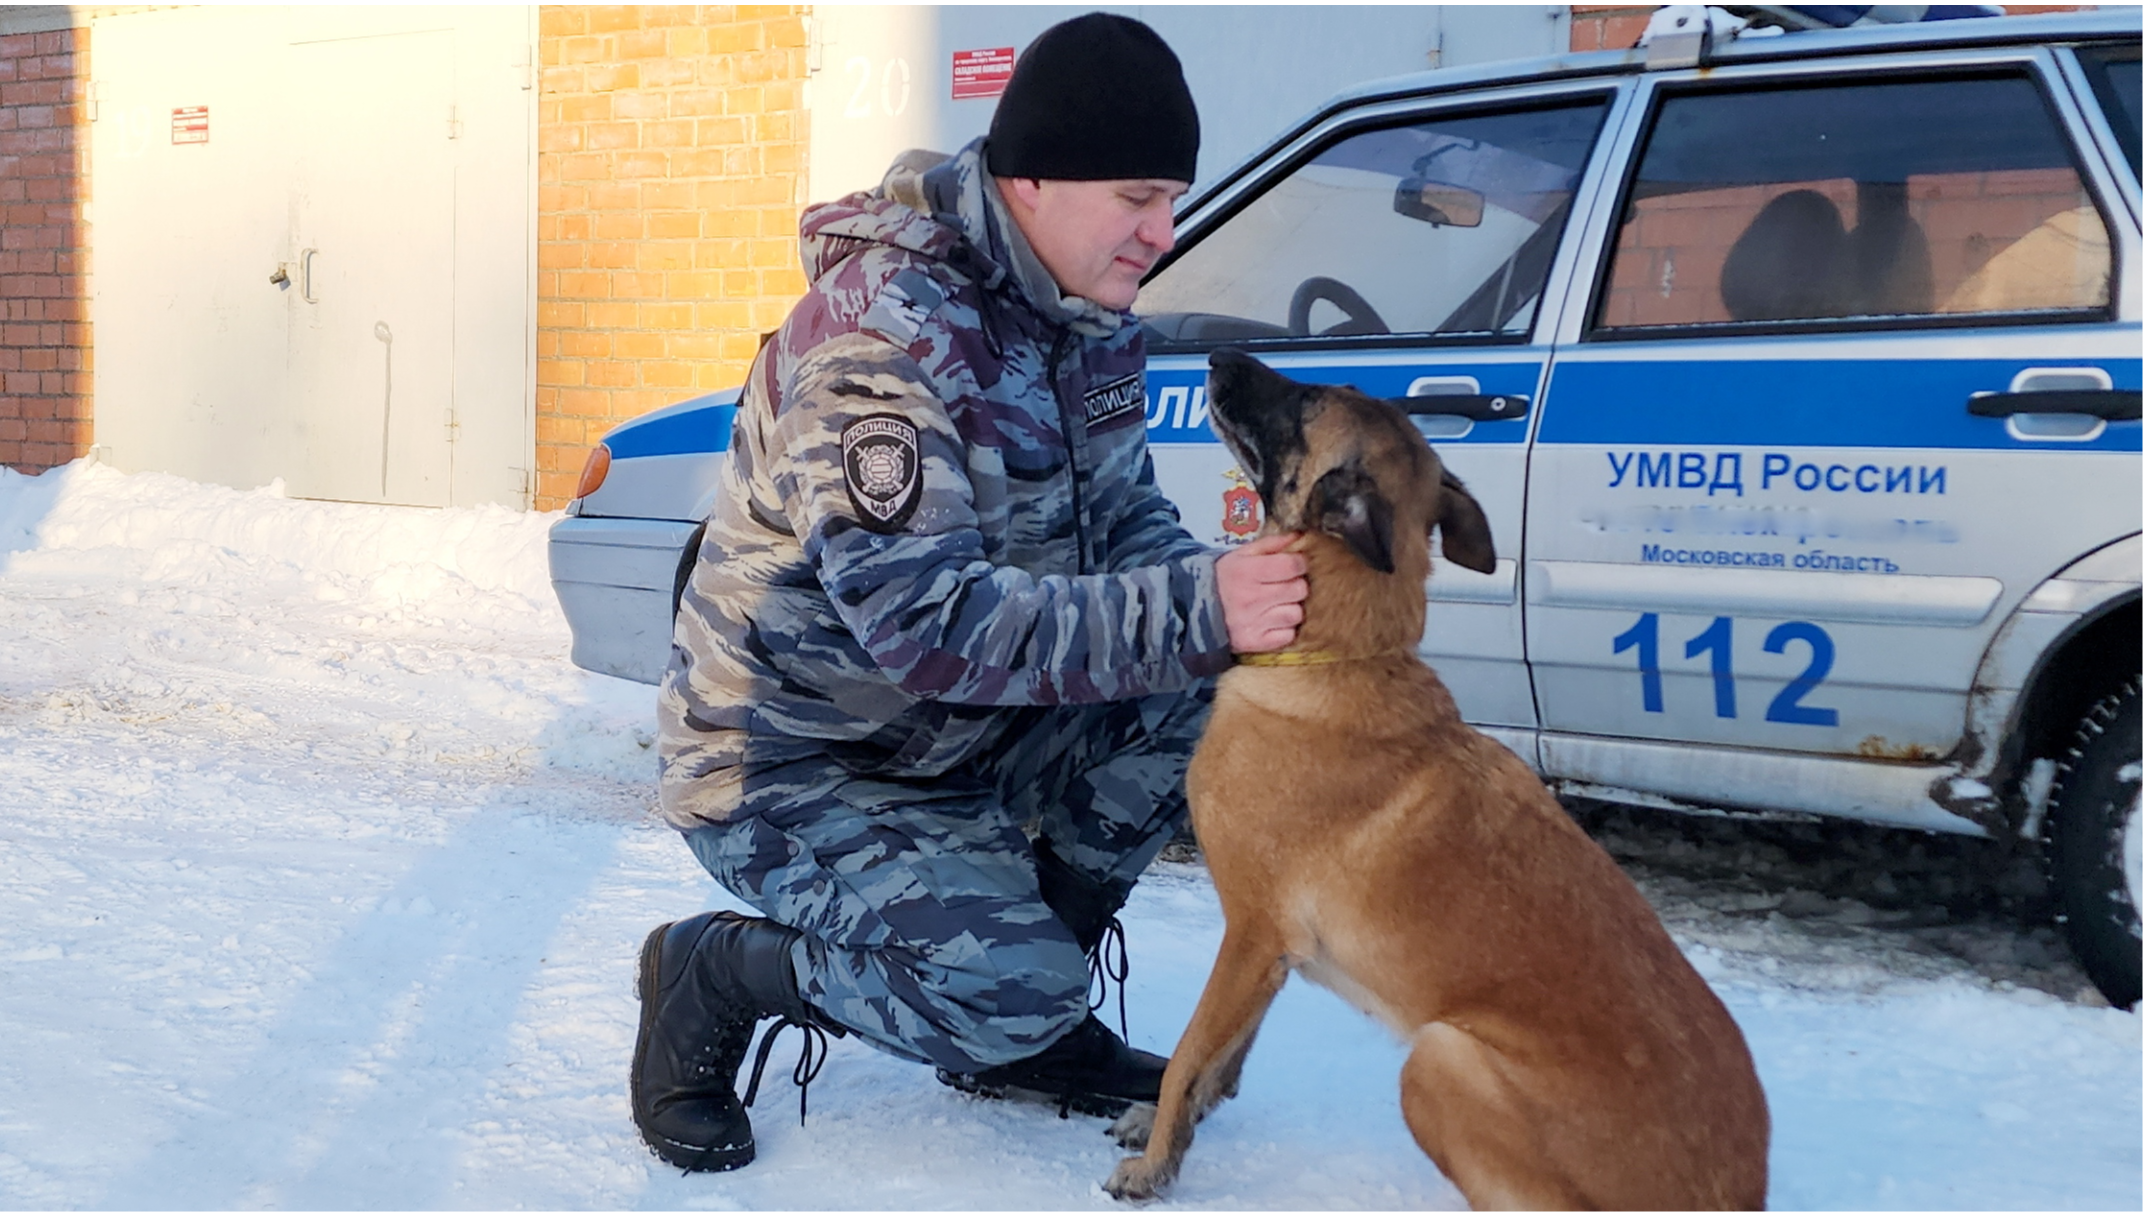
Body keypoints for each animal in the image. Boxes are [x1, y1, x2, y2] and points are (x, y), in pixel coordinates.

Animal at [1097, 346, 1765, 1207]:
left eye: (1309, 401)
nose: (1218, 353)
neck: (1342, 656)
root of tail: (1736, 1193)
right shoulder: (1269, 955)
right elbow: (1219, 1062)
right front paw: (1166, 1135)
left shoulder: (1250, 932)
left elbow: (1187, 1054)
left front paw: (1152, 1167)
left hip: (1438, 1059)